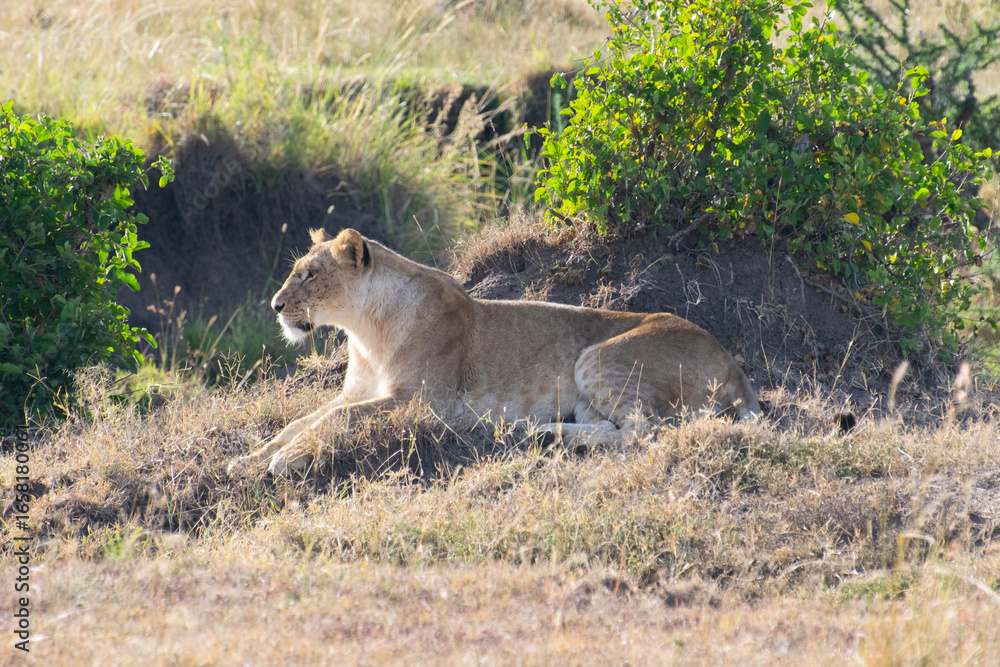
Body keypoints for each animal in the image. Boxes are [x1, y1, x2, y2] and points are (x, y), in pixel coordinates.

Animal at [229, 228, 760, 475]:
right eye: (297, 270)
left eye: (310, 274)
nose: (276, 306)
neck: (364, 331)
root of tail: (731, 361)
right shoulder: (357, 393)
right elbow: (306, 420)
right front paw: (251, 458)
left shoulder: (424, 403)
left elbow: (336, 420)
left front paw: (285, 460)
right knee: (608, 428)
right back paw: (542, 433)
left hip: (595, 358)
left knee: (642, 432)